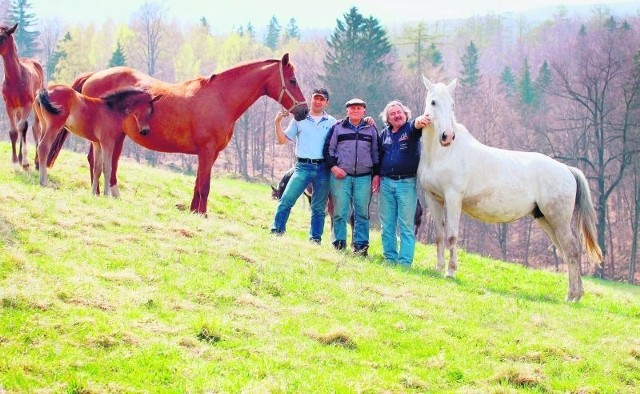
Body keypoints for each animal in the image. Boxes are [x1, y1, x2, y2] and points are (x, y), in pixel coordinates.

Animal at [0, 23, 44, 169]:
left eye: (2, 37)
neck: (16, 79)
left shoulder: (27, 104)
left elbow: (23, 127)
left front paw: (25, 162)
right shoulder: (8, 104)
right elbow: (13, 131)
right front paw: (14, 162)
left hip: (36, 104)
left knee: (36, 127)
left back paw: (37, 162)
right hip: (18, 107)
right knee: (21, 126)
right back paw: (20, 159)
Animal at [48, 53, 308, 214]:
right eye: (292, 80)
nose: (304, 110)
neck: (220, 99)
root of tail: (93, 75)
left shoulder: (209, 155)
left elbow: (197, 184)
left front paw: (193, 212)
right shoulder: (207, 151)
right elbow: (205, 186)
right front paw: (203, 215)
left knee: (102, 162)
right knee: (100, 161)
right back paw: (103, 193)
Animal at [418, 76, 604, 302]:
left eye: (452, 104)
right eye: (433, 102)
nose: (447, 136)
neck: (444, 154)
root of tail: (567, 170)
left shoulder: (453, 199)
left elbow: (452, 236)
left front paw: (450, 272)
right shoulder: (433, 198)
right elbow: (439, 236)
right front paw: (438, 269)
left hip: (558, 220)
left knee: (572, 250)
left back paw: (572, 296)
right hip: (547, 220)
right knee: (567, 253)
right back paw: (575, 295)